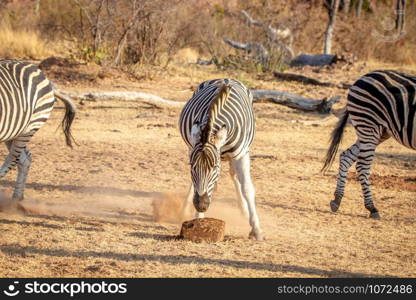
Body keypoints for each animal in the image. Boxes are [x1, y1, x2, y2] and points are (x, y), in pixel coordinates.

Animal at [180, 78, 264, 240]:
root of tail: (225, 79)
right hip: (190, 146)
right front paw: (198, 220)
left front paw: (256, 229)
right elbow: (197, 185)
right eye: (192, 166)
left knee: (234, 175)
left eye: (214, 167)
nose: (201, 205)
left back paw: (244, 210)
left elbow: (247, 188)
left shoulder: (242, 154)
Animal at [322, 69, 416, 218]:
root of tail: (362, 77)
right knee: (362, 166)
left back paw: (337, 199)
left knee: (346, 156)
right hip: (369, 125)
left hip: (379, 131)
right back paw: (372, 208)